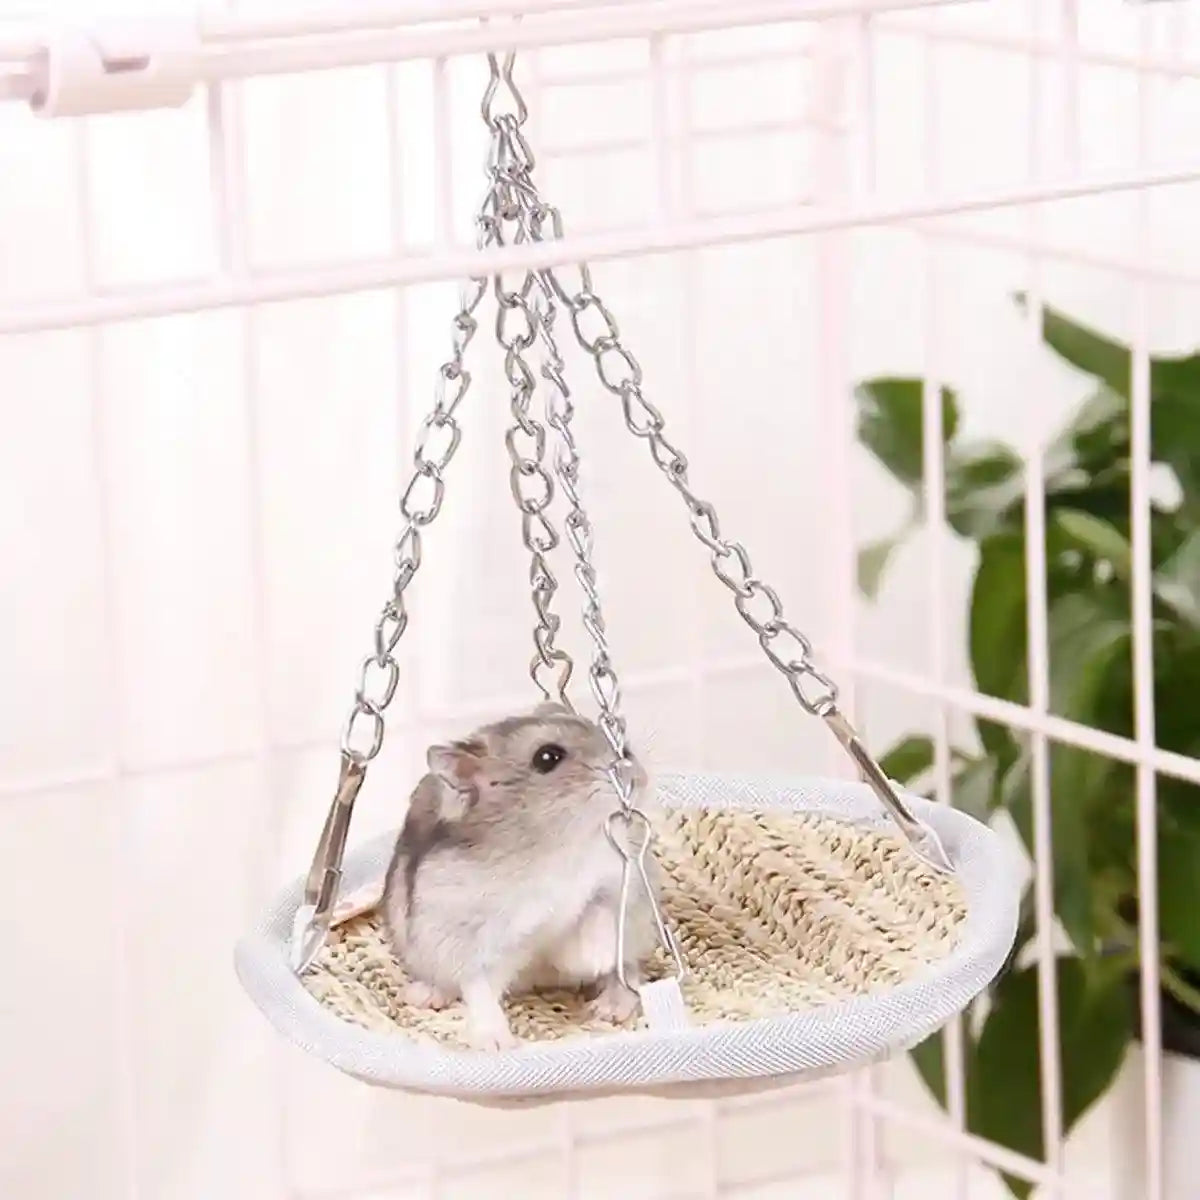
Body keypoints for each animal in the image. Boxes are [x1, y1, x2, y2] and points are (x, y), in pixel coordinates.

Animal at [382, 701, 662, 1051]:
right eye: (547, 757)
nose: (632, 763)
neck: (551, 842)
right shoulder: (473, 938)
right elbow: (479, 988)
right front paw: (496, 1044)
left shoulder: (621, 879)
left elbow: (597, 913)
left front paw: (591, 960)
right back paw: (423, 995)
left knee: (628, 969)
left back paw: (611, 1007)